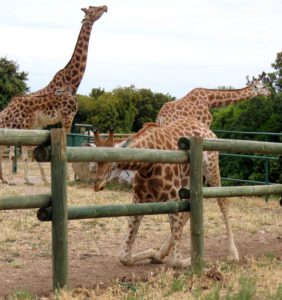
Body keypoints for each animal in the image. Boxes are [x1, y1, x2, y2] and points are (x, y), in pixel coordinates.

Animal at [0, 5, 107, 185]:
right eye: (93, 10)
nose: (105, 7)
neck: (72, 82)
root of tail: (7, 109)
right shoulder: (67, 116)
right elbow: (67, 145)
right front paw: (68, 178)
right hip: (20, 125)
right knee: (11, 149)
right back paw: (9, 179)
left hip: (26, 126)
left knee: (16, 149)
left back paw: (15, 179)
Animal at [93, 119, 239, 268]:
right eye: (96, 160)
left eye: (113, 162)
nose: (97, 184)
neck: (147, 166)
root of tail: (208, 130)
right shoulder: (139, 198)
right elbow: (124, 257)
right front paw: (153, 252)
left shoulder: (172, 197)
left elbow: (177, 261)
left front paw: (197, 260)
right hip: (189, 181)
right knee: (191, 208)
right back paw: (159, 254)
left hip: (211, 168)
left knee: (223, 202)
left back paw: (233, 255)